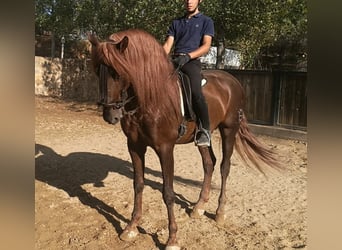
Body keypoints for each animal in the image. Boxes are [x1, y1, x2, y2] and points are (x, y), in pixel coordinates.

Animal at [87, 28, 280, 248]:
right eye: (97, 71)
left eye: (117, 72)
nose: (110, 116)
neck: (150, 98)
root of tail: (233, 81)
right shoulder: (135, 146)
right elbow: (138, 185)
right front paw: (131, 227)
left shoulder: (165, 148)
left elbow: (168, 193)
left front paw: (172, 239)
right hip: (203, 137)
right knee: (209, 163)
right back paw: (199, 206)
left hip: (229, 129)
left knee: (224, 167)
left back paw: (220, 212)